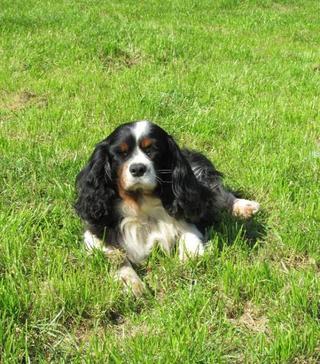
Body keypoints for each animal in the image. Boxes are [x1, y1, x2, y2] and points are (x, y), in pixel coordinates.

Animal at [75, 121, 260, 298]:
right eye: (121, 153)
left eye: (152, 150)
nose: (138, 168)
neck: (141, 205)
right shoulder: (95, 232)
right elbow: (116, 257)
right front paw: (132, 283)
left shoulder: (186, 216)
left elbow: (189, 238)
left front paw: (188, 259)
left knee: (220, 194)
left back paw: (245, 207)